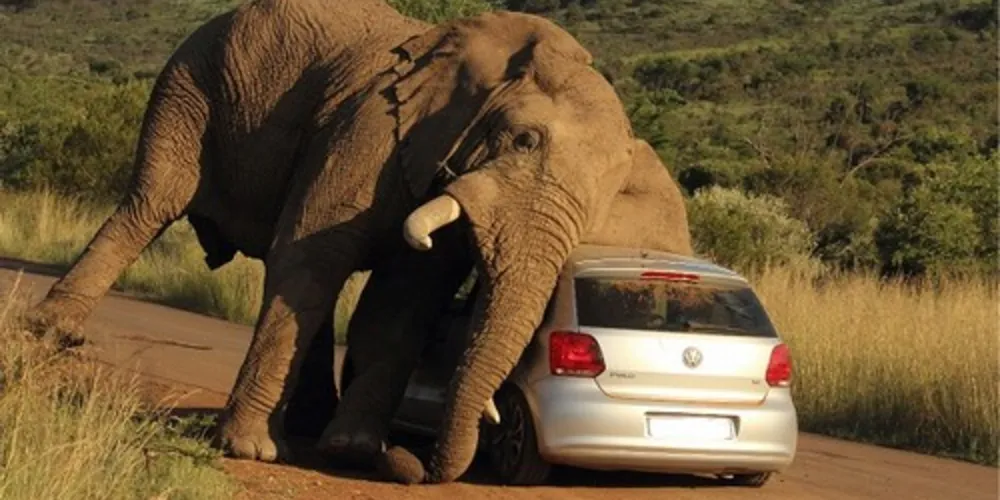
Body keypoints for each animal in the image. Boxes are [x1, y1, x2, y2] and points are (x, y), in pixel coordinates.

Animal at [22, 0, 692, 484]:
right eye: (523, 140)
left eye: (604, 199)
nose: (408, 462)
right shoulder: (373, 127)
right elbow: (312, 254)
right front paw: (252, 451)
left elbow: (404, 298)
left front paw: (350, 449)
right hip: (191, 82)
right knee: (151, 204)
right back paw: (53, 335)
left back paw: (311, 428)